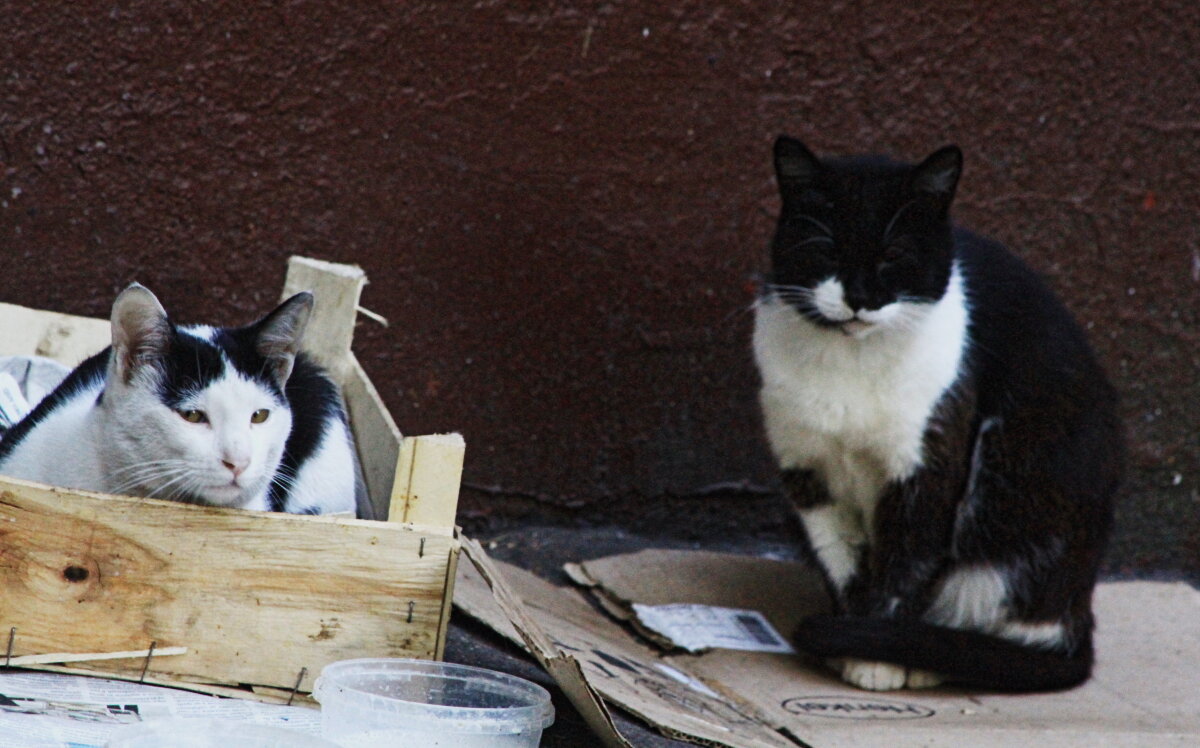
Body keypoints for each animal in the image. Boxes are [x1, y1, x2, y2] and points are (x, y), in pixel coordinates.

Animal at [758, 137, 1123, 691]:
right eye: (828, 250)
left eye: (894, 256)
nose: (859, 298)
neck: (851, 361)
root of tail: (1079, 617)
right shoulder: (808, 476)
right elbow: (843, 563)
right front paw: (850, 646)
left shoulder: (929, 465)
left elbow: (905, 566)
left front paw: (876, 657)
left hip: (1015, 485)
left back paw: (932, 659)